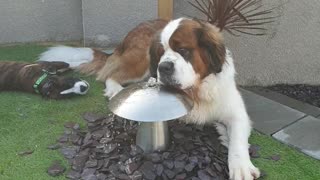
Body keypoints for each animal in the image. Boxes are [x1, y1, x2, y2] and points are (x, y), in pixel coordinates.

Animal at [39, 17, 260, 179]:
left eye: (183, 50)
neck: (195, 90)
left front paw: (240, 163)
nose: (163, 67)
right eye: (160, 53)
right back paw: (115, 89)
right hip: (140, 60)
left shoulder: (236, 112)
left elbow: (238, 138)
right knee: (109, 74)